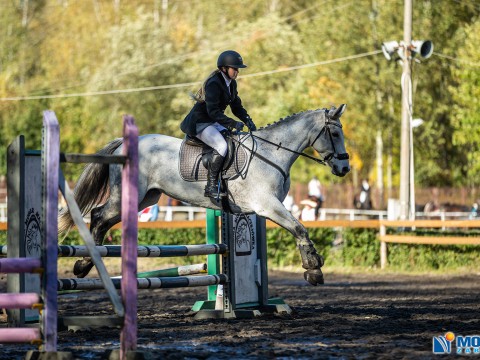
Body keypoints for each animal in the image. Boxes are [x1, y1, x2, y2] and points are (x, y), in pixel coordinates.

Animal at [61, 105, 352, 286]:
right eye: (335, 132)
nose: (344, 168)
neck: (271, 153)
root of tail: (123, 143)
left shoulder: (267, 207)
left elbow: (297, 228)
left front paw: (313, 266)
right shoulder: (268, 205)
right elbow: (299, 228)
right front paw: (313, 268)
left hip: (146, 198)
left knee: (103, 219)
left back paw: (86, 263)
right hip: (126, 196)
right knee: (99, 215)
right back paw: (84, 264)